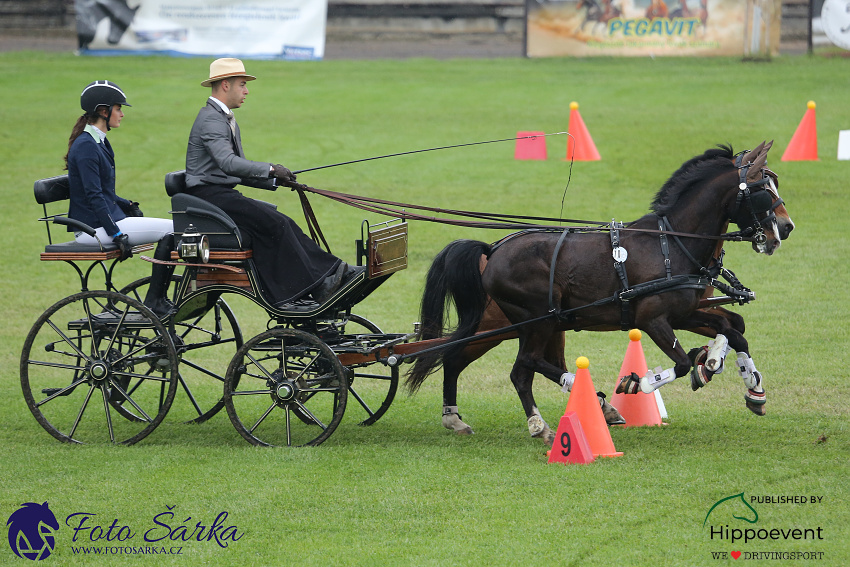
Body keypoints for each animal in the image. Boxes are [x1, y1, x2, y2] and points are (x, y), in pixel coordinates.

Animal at [408, 142, 792, 444]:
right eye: (761, 188)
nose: (785, 229)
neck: (672, 244)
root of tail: (492, 249)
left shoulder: (687, 311)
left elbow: (734, 328)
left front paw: (748, 384)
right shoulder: (652, 319)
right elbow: (682, 363)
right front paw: (640, 383)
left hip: (540, 324)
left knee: (491, 361)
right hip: (530, 322)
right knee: (520, 368)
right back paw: (541, 425)